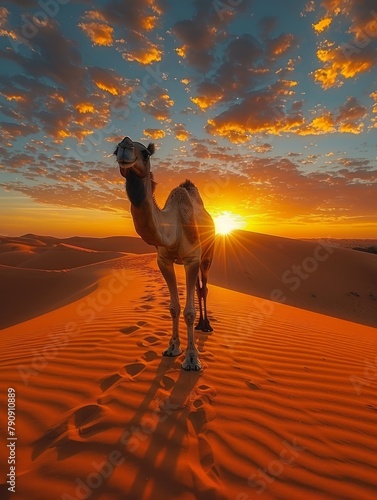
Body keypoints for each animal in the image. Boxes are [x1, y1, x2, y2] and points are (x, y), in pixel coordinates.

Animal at [114, 137, 214, 372]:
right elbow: (174, 308)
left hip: (207, 255)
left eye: (146, 153)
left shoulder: (191, 259)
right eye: (114, 151)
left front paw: (192, 359)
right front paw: (172, 348)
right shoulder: (164, 261)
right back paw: (200, 325)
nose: (124, 146)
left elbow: (188, 311)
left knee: (204, 288)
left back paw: (206, 326)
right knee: (198, 288)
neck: (172, 227)